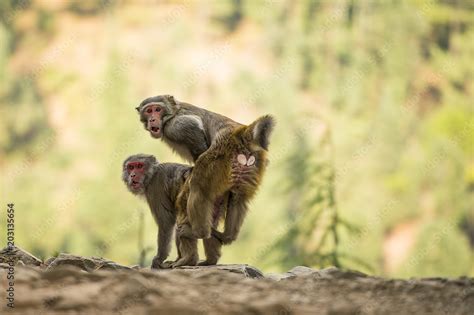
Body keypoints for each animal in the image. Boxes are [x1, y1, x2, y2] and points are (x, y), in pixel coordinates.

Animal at [136, 95, 274, 246]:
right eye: (148, 111)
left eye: (157, 109)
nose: (152, 119)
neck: (172, 114)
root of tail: (241, 134)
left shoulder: (177, 127)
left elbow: (198, 140)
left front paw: (190, 170)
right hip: (251, 166)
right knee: (239, 197)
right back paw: (228, 236)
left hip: (219, 157)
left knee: (199, 186)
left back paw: (199, 232)